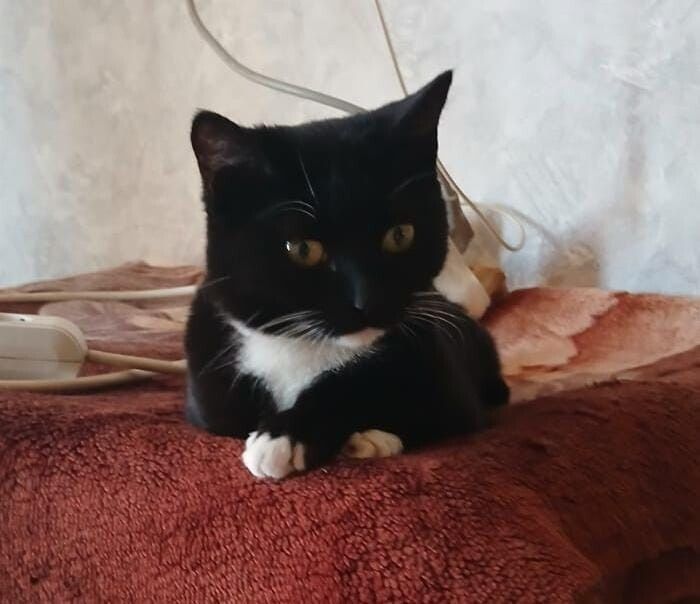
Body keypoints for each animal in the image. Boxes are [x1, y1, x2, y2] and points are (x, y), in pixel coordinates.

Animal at [185, 70, 509, 479]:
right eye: (302, 249)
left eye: (400, 235)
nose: (366, 300)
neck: (306, 349)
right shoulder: (209, 397)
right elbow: (224, 418)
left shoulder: (451, 389)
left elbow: (403, 403)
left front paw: (288, 437)